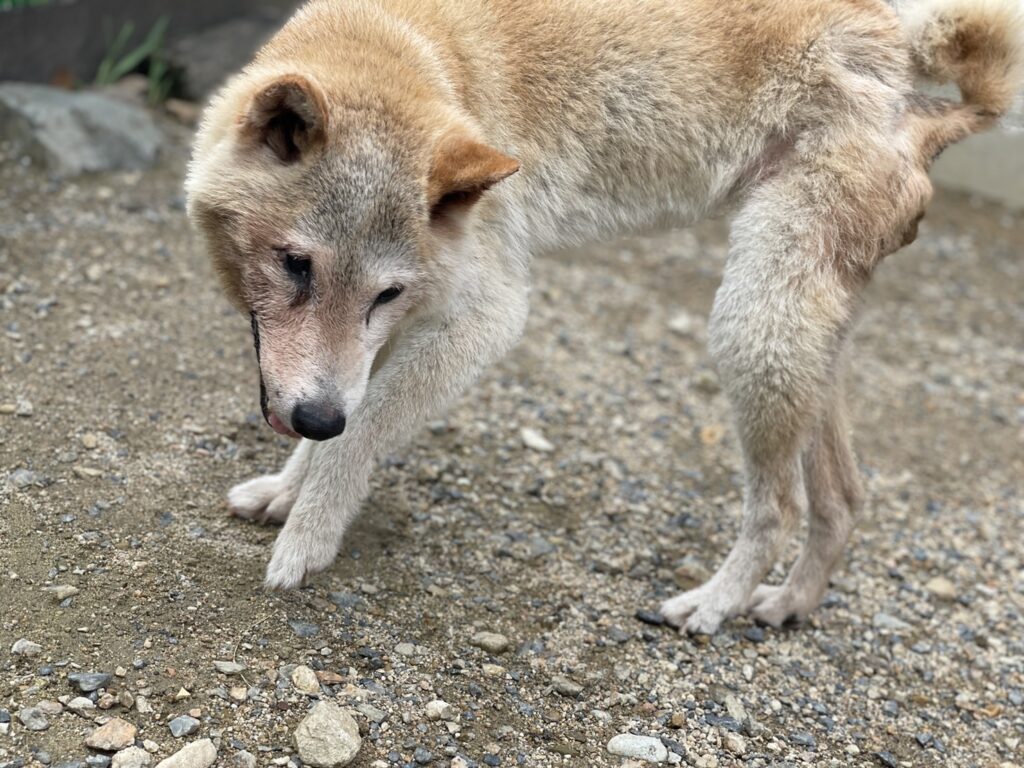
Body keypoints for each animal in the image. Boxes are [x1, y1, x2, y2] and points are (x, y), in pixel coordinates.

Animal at [186, 0, 1024, 634]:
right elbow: (344, 417)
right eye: (296, 266)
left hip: (752, 329)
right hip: (805, 338)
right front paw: (288, 488)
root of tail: (918, 85)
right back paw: (786, 603)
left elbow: (357, 436)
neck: (426, 54)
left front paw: (309, 534)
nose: (314, 416)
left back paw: (715, 604)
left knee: (781, 506)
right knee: (843, 501)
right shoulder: (384, 344)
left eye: (383, 293)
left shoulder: (481, 317)